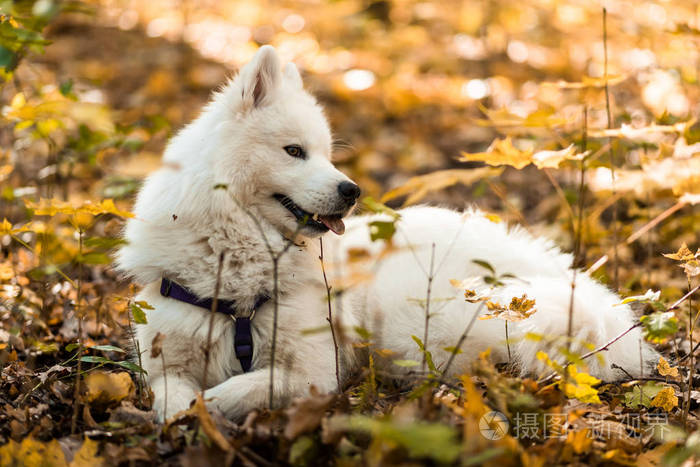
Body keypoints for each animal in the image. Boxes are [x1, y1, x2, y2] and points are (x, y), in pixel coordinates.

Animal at [117, 46, 660, 420]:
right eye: (294, 151)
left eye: (326, 153)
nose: (351, 189)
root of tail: (553, 269)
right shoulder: (162, 357)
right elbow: (170, 395)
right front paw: (186, 414)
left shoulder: (317, 369)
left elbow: (255, 385)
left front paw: (215, 402)